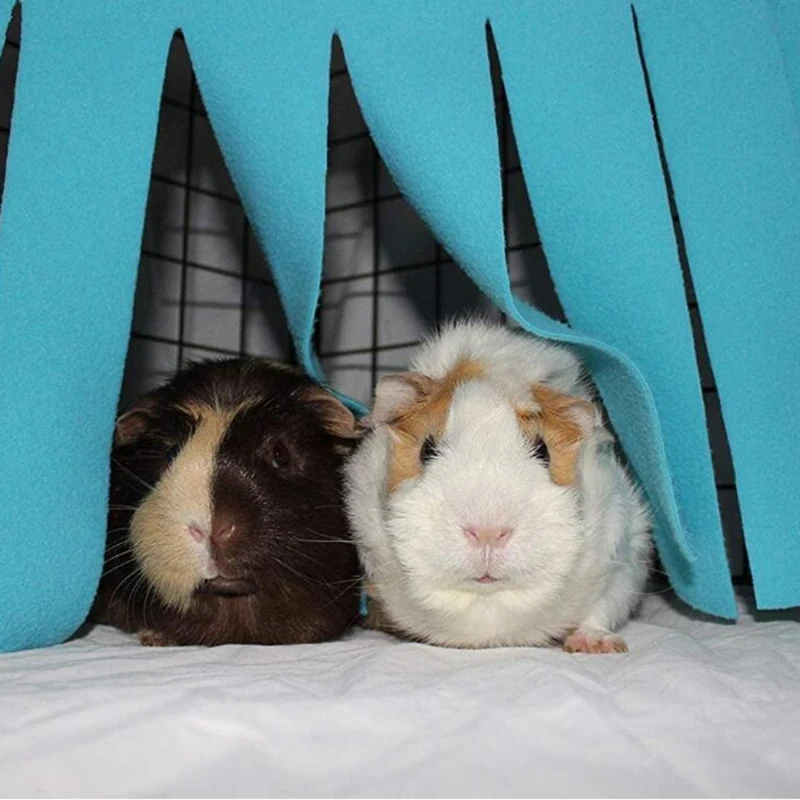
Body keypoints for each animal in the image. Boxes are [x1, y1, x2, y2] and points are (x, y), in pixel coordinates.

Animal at [345, 318, 653, 654]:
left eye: (543, 450)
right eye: (427, 448)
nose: (488, 533)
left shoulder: (625, 551)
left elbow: (602, 608)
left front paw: (596, 645)